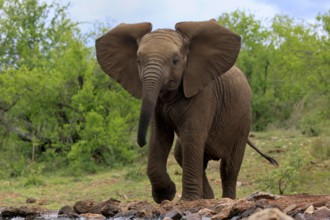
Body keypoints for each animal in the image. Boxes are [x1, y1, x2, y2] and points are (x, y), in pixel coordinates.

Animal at [95, 19, 278, 204]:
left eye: (175, 61)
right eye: (138, 60)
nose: (140, 142)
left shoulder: (204, 92)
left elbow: (192, 135)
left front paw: (187, 200)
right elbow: (160, 136)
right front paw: (165, 195)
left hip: (243, 122)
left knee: (229, 167)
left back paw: (226, 198)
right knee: (183, 155)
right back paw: (208, 198)